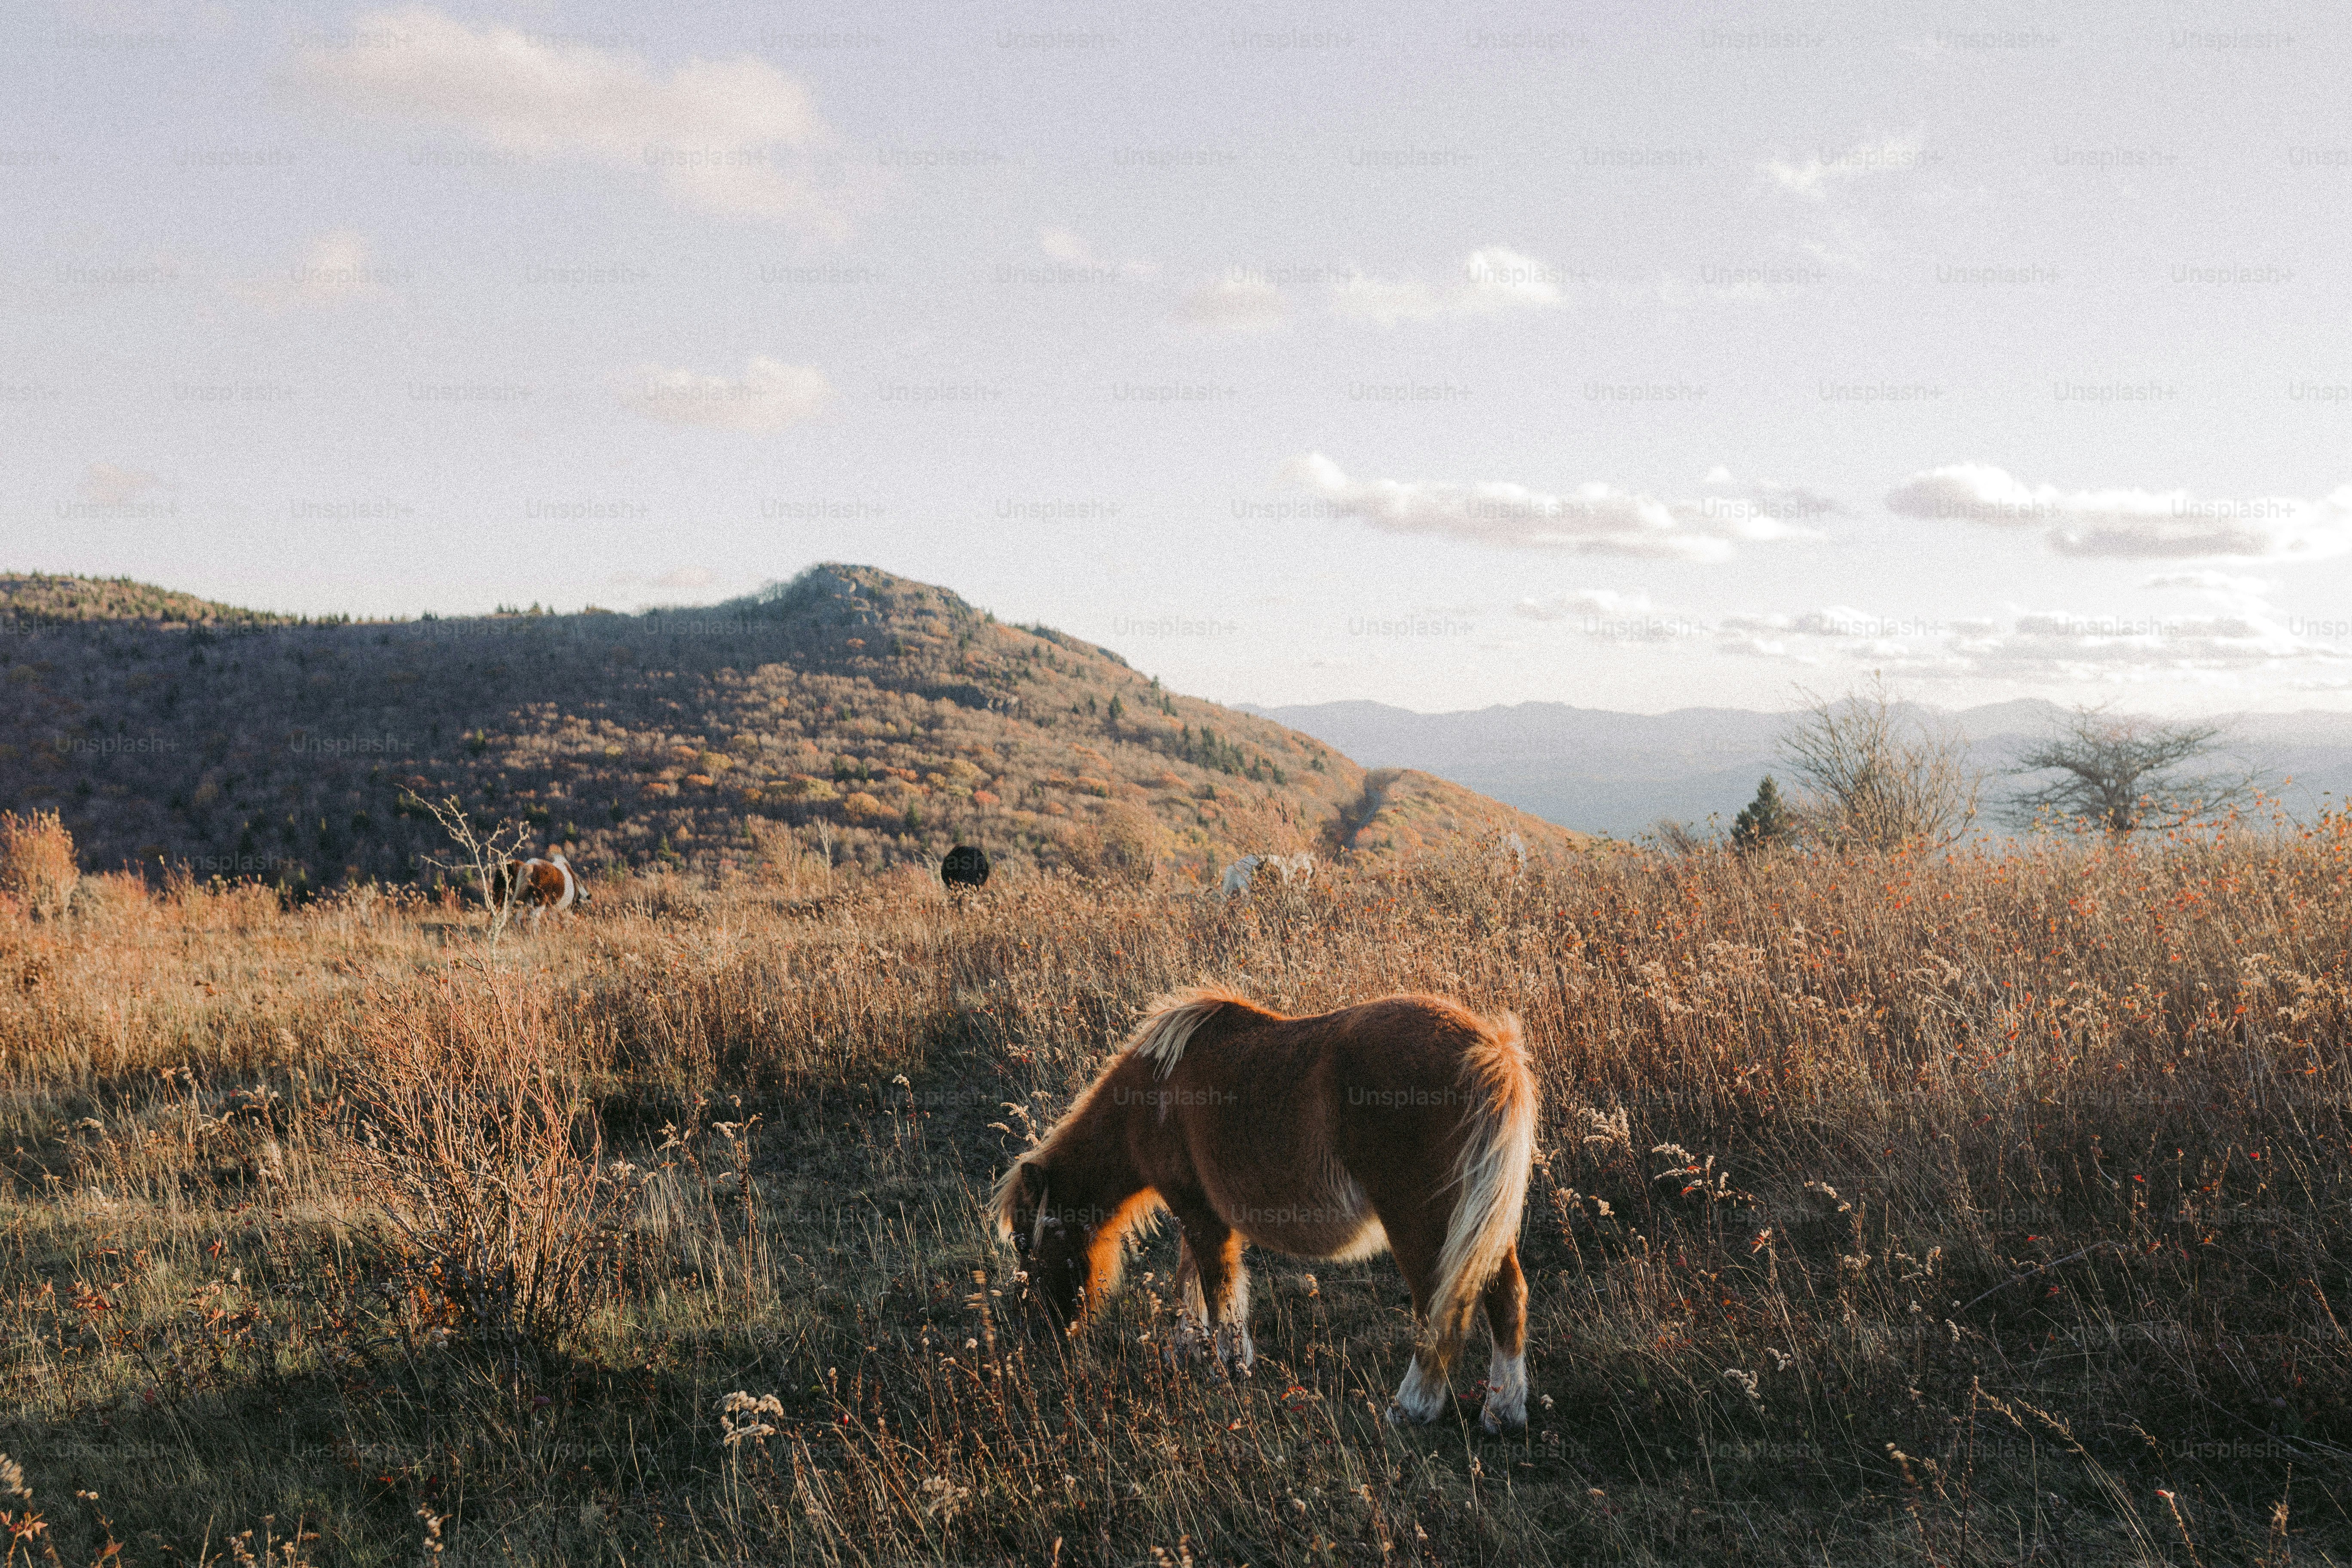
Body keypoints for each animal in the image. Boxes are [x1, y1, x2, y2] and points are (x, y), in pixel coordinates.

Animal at [991, 987, 1536, 1432]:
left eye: (1024, 1242)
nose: (1036, 1332)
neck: (1152, 1095)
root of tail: (1490, 1051)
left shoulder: (1198, 1211)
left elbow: (1217, 1287)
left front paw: (1227, 1364)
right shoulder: (1199, 1212)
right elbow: (1190, 1282)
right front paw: (1186, 1349)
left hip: (1419, 1222)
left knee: (1437, 1308)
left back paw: (1412, 1406)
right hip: (1478, 1226)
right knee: (1506, 1297)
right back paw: (1503, 1412)